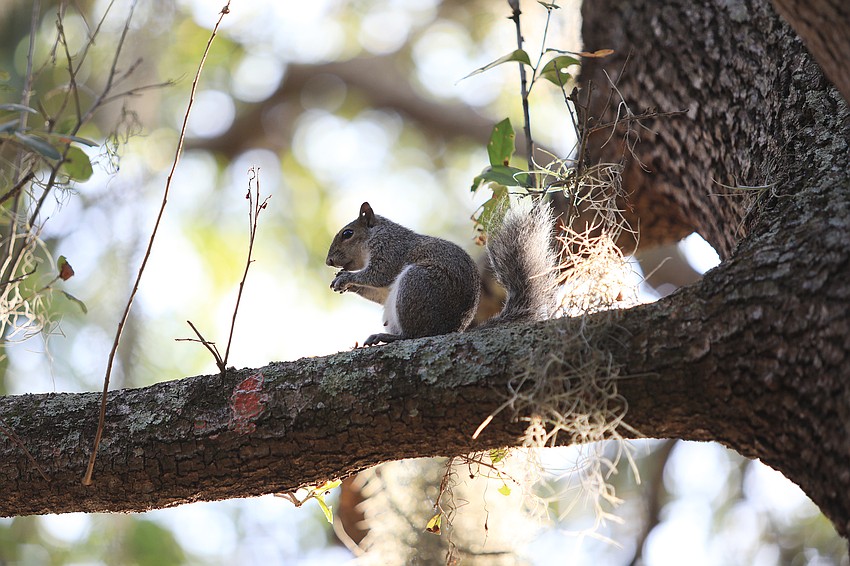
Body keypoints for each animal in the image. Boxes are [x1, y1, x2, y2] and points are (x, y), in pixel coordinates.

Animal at [326, 201, 559, 346]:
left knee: (415, 335)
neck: (375, 235)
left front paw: (347, 278)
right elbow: (378, 292)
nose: (329, 261)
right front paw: (344, 283)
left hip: (416, 283)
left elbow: (378, 274)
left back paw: (390, 337)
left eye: (347, 233)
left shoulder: (391, 250)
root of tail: (451, 330)